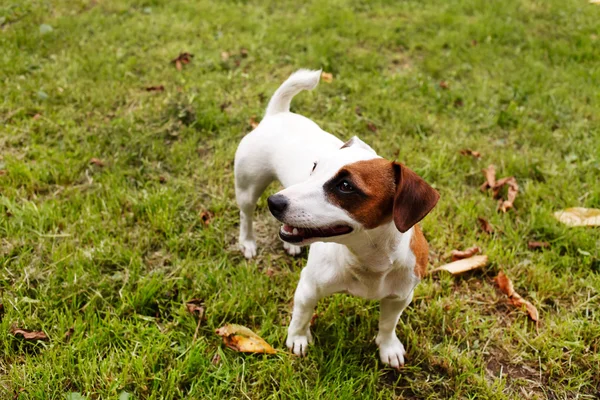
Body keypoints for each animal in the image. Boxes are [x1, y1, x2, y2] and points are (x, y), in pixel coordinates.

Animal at [236, 69, 440, 368]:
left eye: (345, 186)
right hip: (248, 187)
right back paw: (248, 242)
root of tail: (278, 114)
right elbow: (301, 316)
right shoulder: (308, 287)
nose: (275, 202)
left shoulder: (400, 297)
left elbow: (388, 324)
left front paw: (388, 346)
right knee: (247, 214)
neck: (369, 260)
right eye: (314, 167)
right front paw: (297, 339)